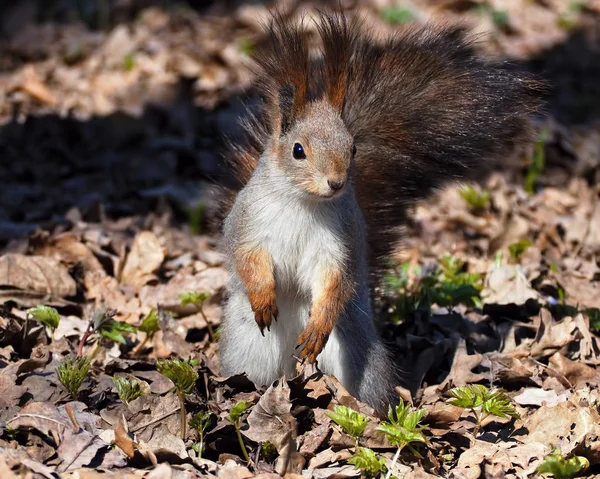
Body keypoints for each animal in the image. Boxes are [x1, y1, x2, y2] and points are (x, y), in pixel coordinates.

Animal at [217, 12, 544, 416]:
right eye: (298, 150)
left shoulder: (339, 241)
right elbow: (248, 258)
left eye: (353, 148)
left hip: (357, 356)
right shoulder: (249, 221)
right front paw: (263, 296)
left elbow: (334, 279)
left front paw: (318, 325)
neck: (303, 202)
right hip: (248, 348)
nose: (336, 182)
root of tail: (288, 372)